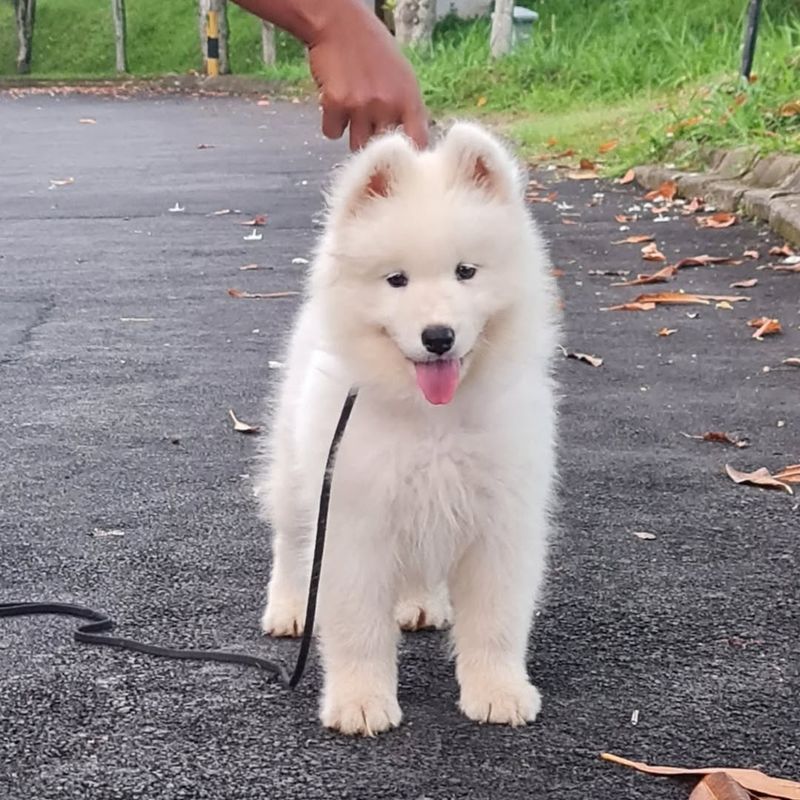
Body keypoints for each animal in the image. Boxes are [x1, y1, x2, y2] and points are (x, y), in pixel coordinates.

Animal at [255, 120, 556, 736]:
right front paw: (360, 701)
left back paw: (419, 603)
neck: (431, 419)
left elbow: (496, 622)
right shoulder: (352, 521)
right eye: (396, 280)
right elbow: (357, 627)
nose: (437, 336)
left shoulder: (501, 522)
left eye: (466, 271)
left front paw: (498, 692)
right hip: (298, 475)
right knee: (290, 543)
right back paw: (289, 608)